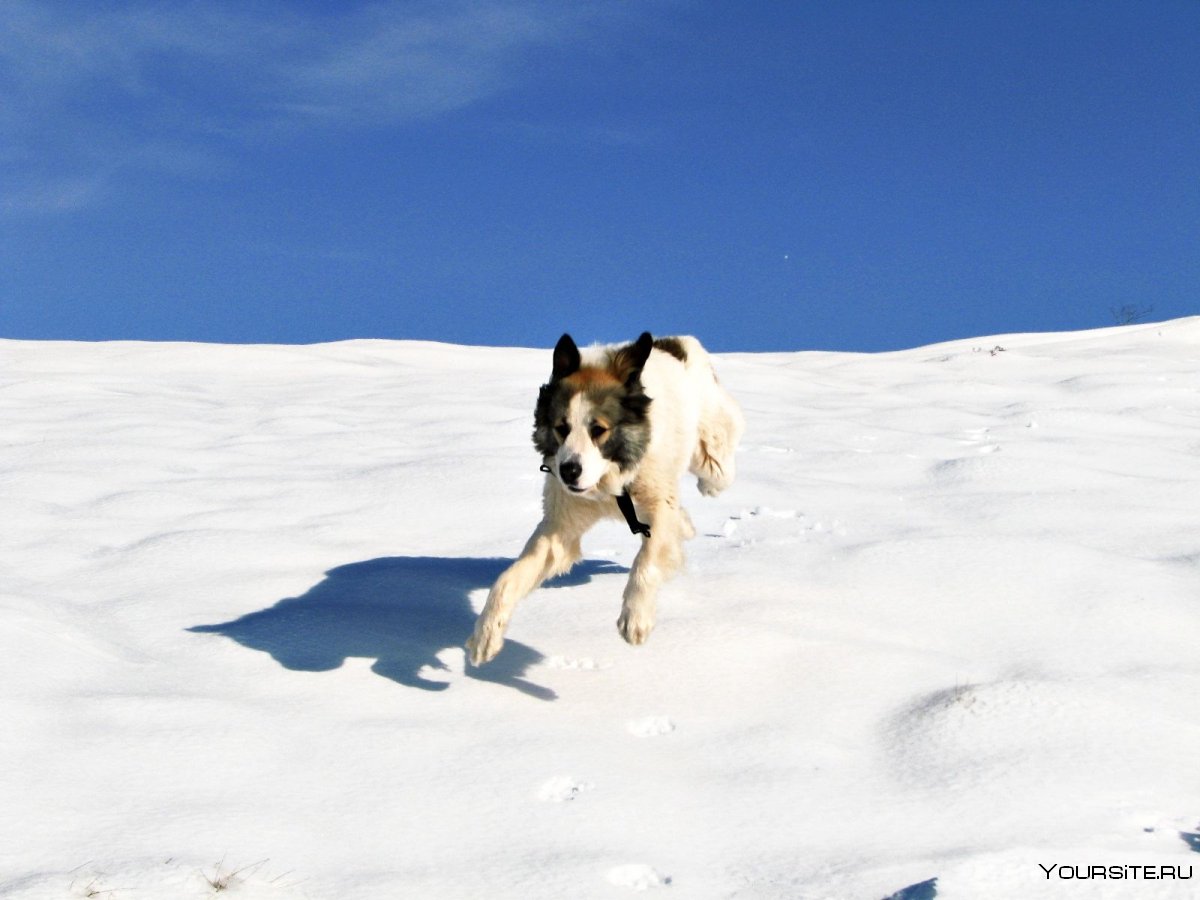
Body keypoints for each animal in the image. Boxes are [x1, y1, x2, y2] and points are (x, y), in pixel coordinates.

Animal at [465, 336, 739, 667]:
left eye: (598, 430)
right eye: (562, 428)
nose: (569, 470)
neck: (608, 478)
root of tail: (674, 343)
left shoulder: (657, 504)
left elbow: (647, 559)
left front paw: (635, 617)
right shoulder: (560, 526)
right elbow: (508, 579)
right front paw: (485, 634)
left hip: (710, 453)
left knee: (718, 469)